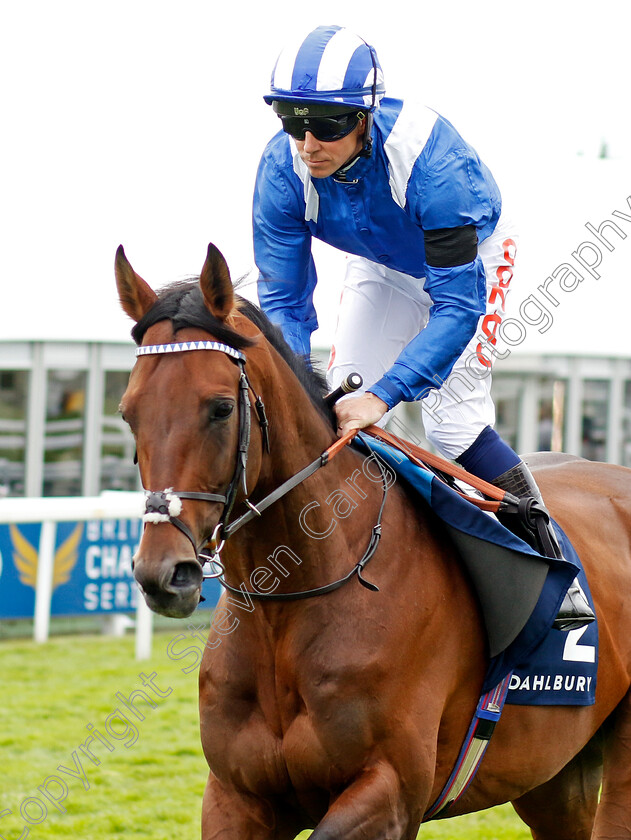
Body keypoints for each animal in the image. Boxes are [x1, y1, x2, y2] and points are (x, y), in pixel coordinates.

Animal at [115, 244, 631, 840]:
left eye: (220, 408)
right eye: (128, 411)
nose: (163, 573)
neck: (289, 606)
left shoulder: (390, 792)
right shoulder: (235, 795)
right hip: (554, 776)